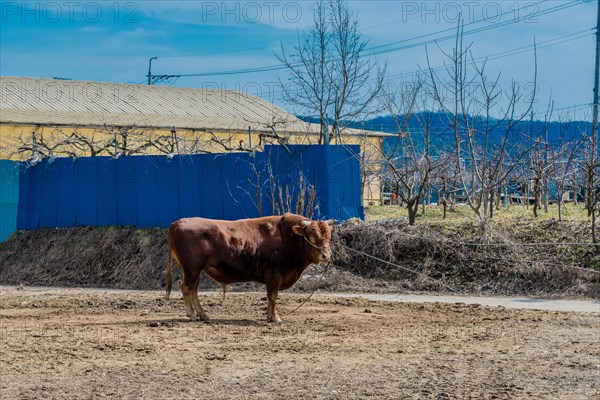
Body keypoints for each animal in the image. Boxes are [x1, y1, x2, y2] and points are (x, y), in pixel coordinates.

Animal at [165, 212, 332, 322]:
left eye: (328, 237)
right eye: (312, 237)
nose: (326, 256)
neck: (286, 236)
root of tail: (178, 222)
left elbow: (271, 297)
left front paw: (269, 315)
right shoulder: (275, 275)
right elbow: (273, 296)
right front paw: (275, 317)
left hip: (195, 271)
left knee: (193, 290)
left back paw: (203, 315)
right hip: (191, 269)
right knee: (186, 288)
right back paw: (192, 315)